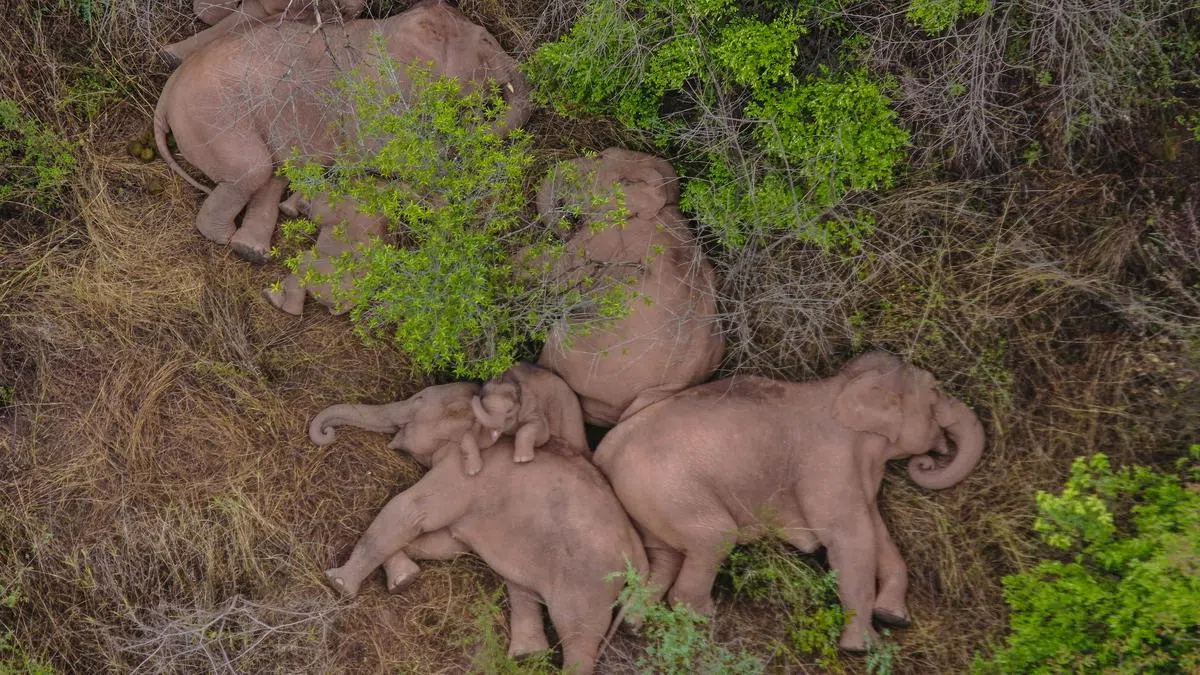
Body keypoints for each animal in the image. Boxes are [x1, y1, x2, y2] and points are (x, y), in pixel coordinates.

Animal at [309, 382, 648, 674]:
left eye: (418, 400)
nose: (327, 432)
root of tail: (639, 554)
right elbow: (444, 543)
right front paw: (404, 579)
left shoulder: (464, 475)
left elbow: (410, 510)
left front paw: (339, 584)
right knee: (522, 586)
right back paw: (526, 656)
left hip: (589, 582)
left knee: (578, 635)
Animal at [592, 351, 986, 652]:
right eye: (935, 390)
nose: (927, 461)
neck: (843, 385)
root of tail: (606, 450)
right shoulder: (828, 463)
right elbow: (849, 538)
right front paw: (864, 648)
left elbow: (878, 533)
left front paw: (894, 616)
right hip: (666, 486)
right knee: (715, 537)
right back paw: (703, 616)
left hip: (648, 499)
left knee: (665, 556)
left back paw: (635, 624)